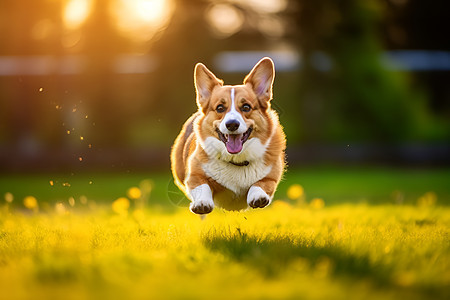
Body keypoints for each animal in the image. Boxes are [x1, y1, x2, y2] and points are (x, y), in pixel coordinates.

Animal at [171, 57, 286, 214]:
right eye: (220, 108)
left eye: (246, 107)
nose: (232, 124)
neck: (236, 160)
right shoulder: (194, 175)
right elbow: (202, 186)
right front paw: (202, 203)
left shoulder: (271, 177)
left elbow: (262, 183)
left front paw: (258, 196)